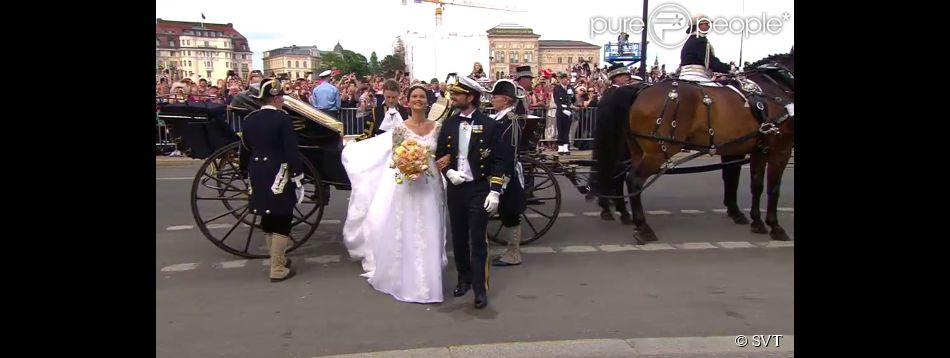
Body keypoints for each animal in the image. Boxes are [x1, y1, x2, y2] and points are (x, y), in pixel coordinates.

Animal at [596, 52, 796, 243]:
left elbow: (755, 185)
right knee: (634, 179)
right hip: (656, 152)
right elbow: (772, 188)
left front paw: (756, 221)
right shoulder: (781, 148)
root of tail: (639, 91)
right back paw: (643, 227)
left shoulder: (758, 150)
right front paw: (775, 226)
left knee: (622, 175)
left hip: (636, 150)